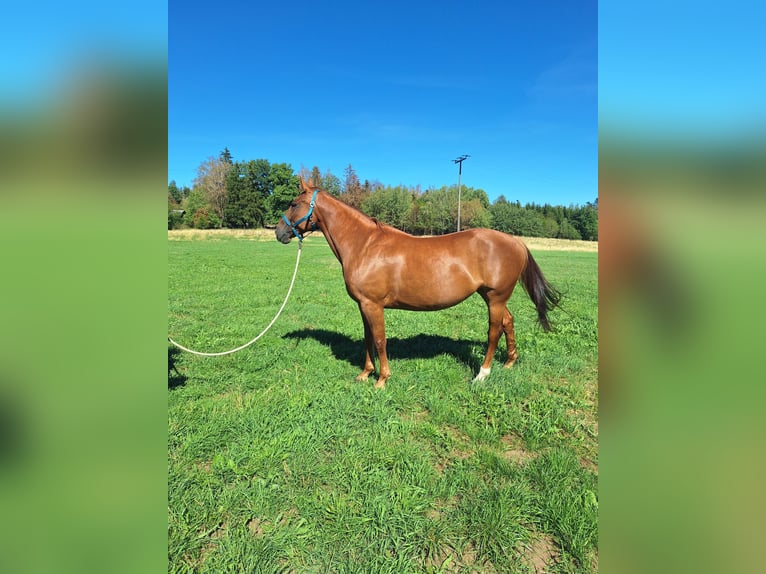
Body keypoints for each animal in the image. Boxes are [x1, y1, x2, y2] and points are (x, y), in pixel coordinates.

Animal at [275, 178, 561, 388]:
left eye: (293, 203)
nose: (279, 232)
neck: (365, 245)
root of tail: (515, 241)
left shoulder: (373, 305)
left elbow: (379, 339)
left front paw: (381, 379)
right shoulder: (363, 305)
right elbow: (367, 338)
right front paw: (365, 373)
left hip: (495, 297)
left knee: (494, 331)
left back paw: (482, 374)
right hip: (491, 296)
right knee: (508, 322)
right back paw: (510, 362)